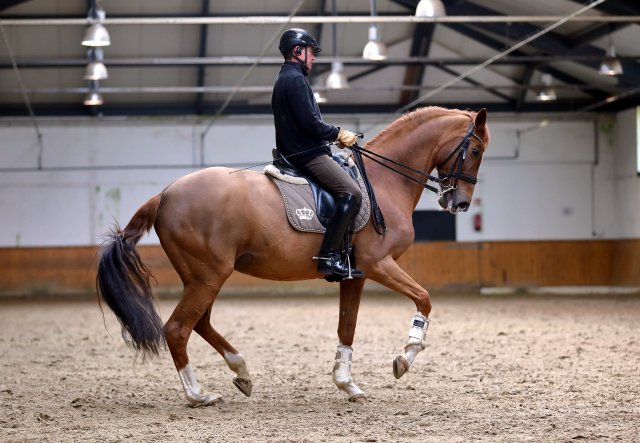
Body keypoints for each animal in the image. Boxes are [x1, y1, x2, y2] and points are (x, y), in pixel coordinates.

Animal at [95, 106, 488, 408]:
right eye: (475, 151)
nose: (460, 203)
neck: (384, 182)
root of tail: (164, 194)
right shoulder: (379, 264)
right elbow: (424, 298)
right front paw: (405, 357)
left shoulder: (355, 274)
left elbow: (347, 327)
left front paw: (348, 384)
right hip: (208, 276)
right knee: (177, 329)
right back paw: (198, 395)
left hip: (203, 277)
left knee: (199, 323)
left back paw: (241, 371)